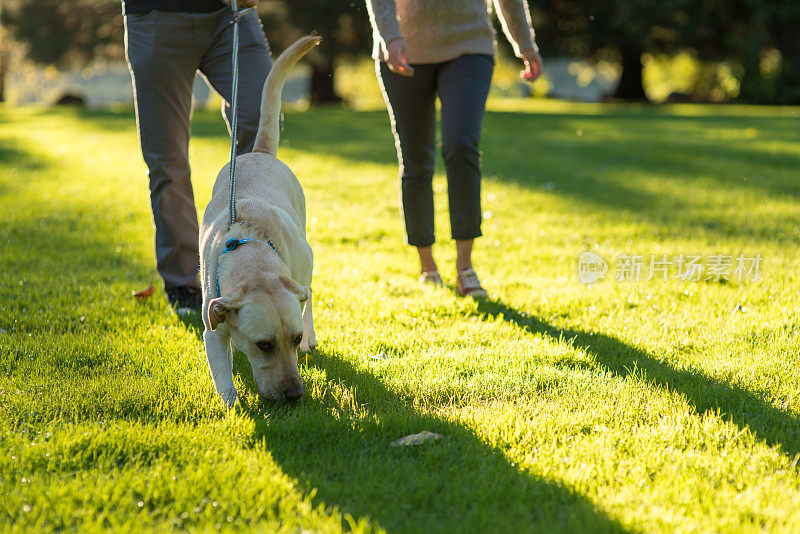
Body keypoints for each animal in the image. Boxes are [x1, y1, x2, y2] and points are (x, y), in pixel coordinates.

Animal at [199, 36, 318, 406]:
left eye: (293, 339)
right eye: (264, 345)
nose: (295, 395)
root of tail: (259, 152)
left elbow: (304, 303)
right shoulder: (212, 326)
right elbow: (222, 374)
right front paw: (232, 405)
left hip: (306, 257)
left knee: (309, 297)